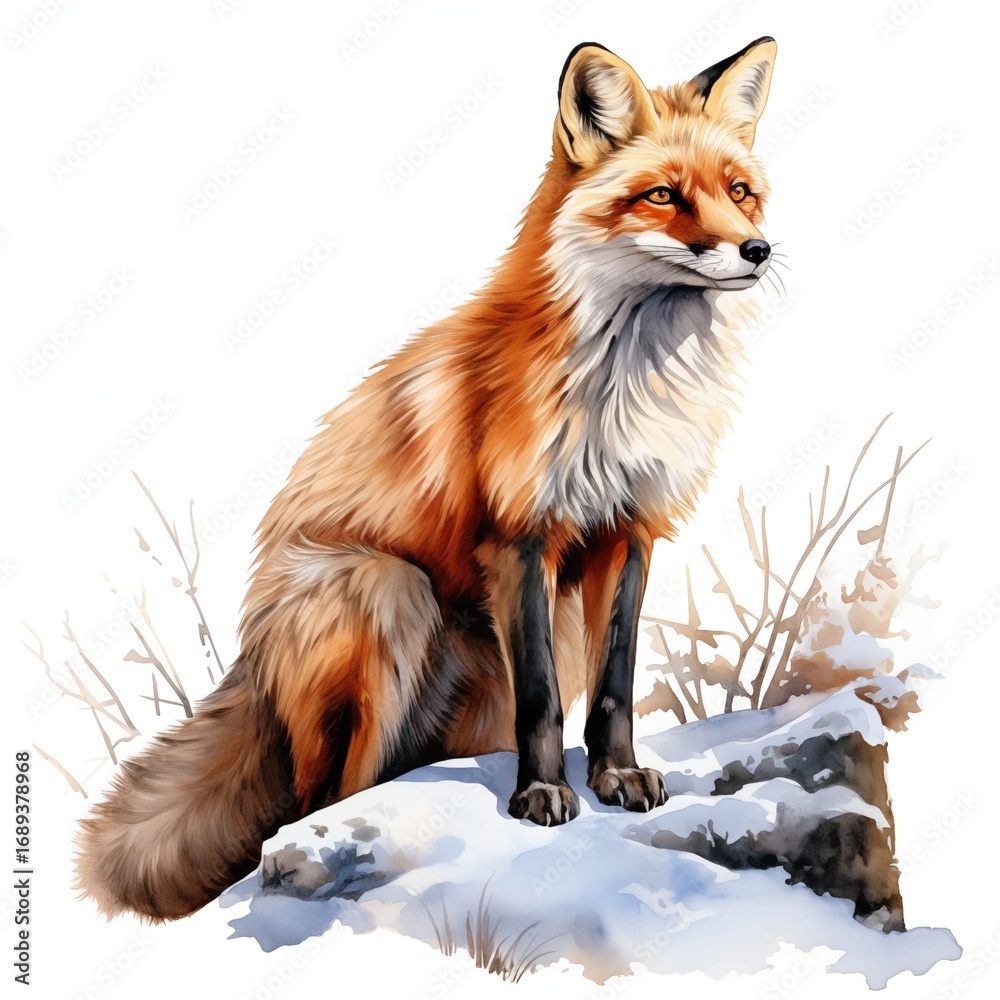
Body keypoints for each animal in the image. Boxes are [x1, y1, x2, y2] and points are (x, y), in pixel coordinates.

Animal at [76, 37, 778, 921]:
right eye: (662, 196)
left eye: (739, 193)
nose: (758, 250)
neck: (624, 391)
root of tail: (254, 656)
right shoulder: (518, 539)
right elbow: (544, 700)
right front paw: (542, 795)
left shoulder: (630, 532)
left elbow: (614, 685)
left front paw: (616, 776)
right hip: (386, 592)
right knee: (323, 794)